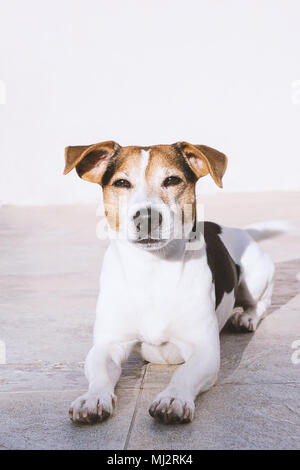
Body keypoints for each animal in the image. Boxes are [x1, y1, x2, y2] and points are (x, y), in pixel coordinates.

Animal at [63, 141, 286, 424]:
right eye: (121, 183)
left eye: (172, 180)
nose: (146, 217)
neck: (152, 269)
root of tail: (240, 230)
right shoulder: (108, 344)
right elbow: (100, 371)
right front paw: (92, 398)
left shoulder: (204, 349)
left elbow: (184, 374)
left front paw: (173, 398)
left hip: (256, 279)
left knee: (260, 304)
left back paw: (245, 318)